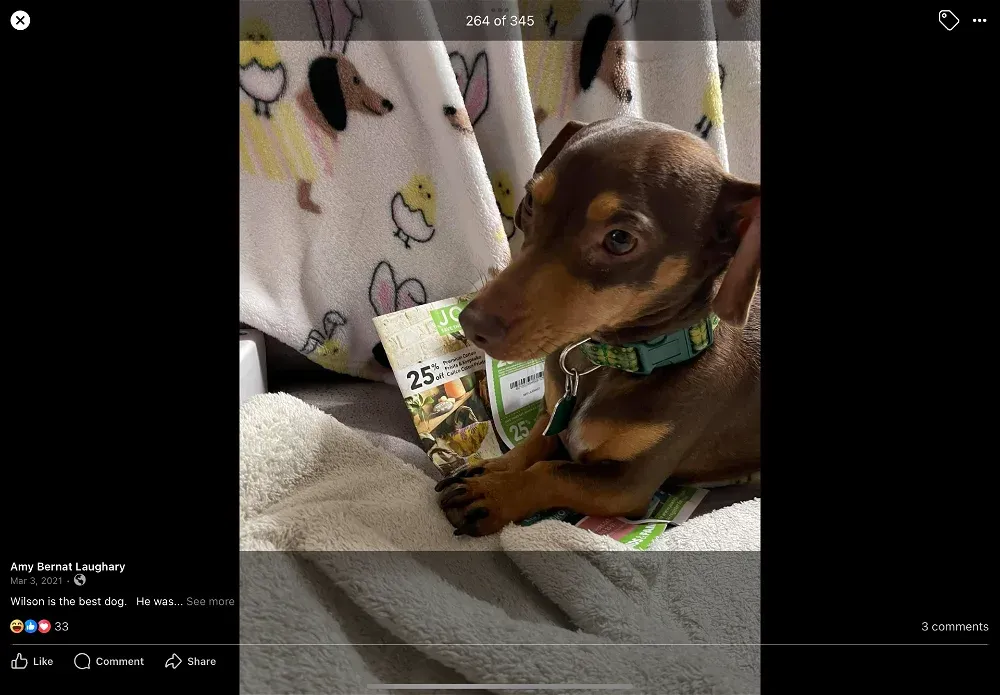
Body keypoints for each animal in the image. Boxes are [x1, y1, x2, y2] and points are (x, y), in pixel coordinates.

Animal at [436, 118, 760, 537]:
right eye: (530, 202)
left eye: (620, 239)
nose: (470, 324)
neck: (610, 359)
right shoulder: (550, 415)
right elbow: (530, 448)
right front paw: (489, 471)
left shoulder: (628, 485)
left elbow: (552, 472)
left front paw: (494, 494)